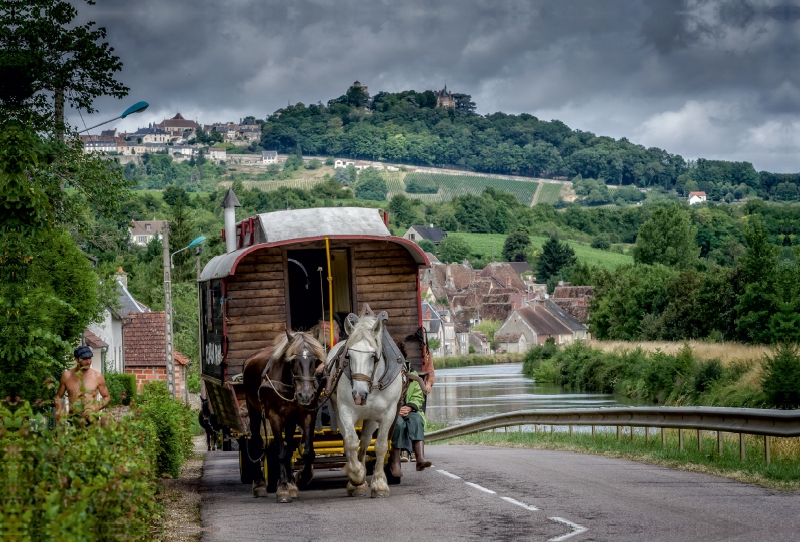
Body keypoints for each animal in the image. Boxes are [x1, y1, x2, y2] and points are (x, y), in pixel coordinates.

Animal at [241, 332, 324, 506]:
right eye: (292, 361)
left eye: (315, 361)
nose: (306, 395)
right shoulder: (275, 418)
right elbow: (279, 453)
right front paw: (282, 489)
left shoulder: (307, 415)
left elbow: (306, 453)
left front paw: (301, 478)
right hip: (253, 411)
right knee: (256, 442)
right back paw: (259, 485)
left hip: (290, 420)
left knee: (290, 445)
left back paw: (291, 483)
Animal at [326, 316, 404, 500]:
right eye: (348, 355)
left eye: (373, 356)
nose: (359, 395)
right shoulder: (345, 410)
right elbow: (350, 442)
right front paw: (357, 477)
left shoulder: (388, 413)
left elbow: (381, 446)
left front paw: (380, 485)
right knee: (351, 441)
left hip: (371, 418)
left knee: (366, 441)